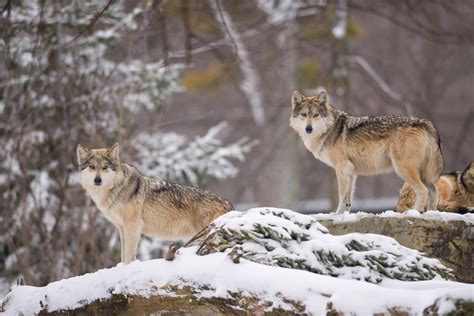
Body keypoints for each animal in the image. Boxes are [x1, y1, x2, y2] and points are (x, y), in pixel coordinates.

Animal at [76, 144, 233, 264]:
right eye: (91, 167)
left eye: (105, 167)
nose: (97, 180)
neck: (117, 189)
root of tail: (228, 203)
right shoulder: (121, 227)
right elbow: (123, 253)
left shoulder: (132, 226)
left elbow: (128, 254)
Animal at [288, 90, 444, 216]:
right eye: (304, 115)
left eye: (315, 115)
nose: (308, 129)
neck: (330, 129)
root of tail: (426, 123)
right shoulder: (351, 171)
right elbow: (348, 199)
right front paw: (344, 215)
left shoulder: (342, 168)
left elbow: (342, 195)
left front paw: (336, 215)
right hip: (422, 174)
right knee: (434, 191)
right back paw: (431, 213)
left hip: (403, 169)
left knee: (423, 191)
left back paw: (413, 213)